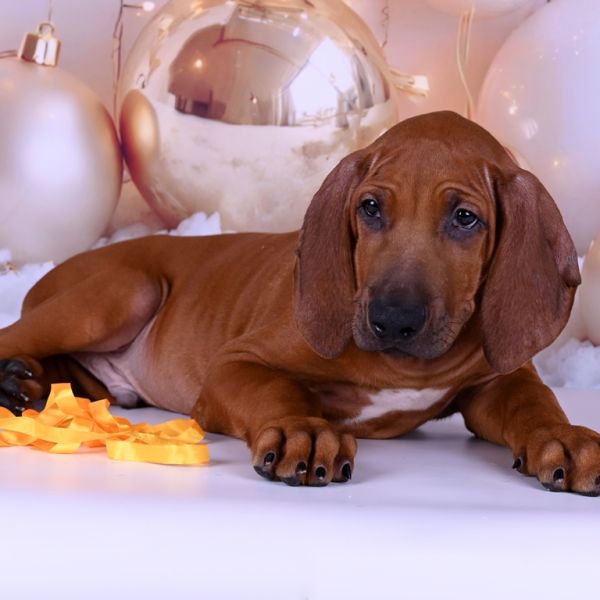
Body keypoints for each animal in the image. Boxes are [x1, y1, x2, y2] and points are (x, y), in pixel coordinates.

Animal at [1, 111, 598, 494]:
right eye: (371, 208)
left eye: (465, 218)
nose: (391, 321)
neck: (404, 368)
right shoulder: (234, 366)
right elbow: (276, 388)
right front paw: (302, 431)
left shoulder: (497, 379)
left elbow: (534, 403)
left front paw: (563, 439)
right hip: (124, 293)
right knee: (18, 334)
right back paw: (16, 383)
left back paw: (25, 384)